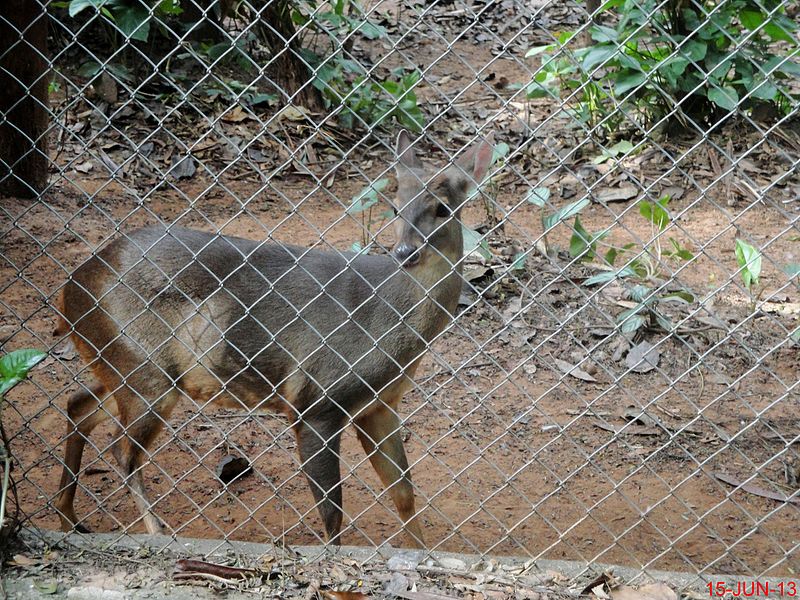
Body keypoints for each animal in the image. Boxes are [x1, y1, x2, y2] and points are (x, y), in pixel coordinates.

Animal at [54, 130, 494, 548]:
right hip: (146, 371)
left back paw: (70, 518)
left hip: (124, 364)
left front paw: (422, 554)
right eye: (397, 206)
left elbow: (403, 492)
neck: (386, 320)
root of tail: (70, 290)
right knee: (122, 450)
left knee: (78, 404)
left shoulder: (379, 406)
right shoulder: (316, 401)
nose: (405, 252)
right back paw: (154, 533)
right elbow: (332, 510)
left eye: (443, 208)